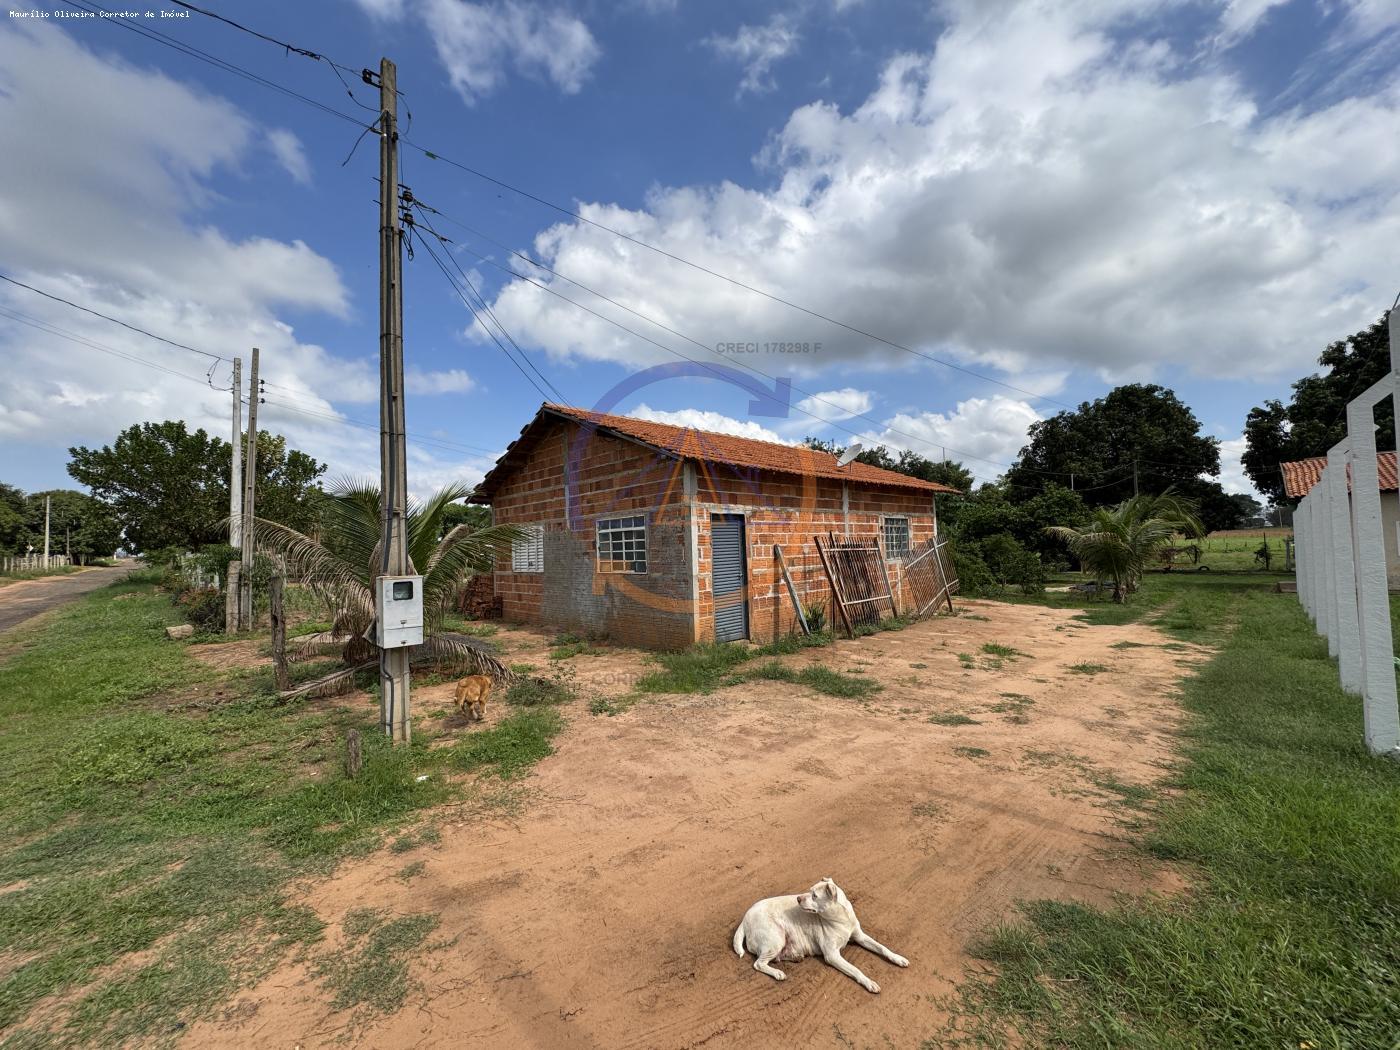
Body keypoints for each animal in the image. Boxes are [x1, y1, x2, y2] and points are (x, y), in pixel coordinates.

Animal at [733, 879, 907, 996]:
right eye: (810, 891)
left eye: (814, 895)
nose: (798, 898)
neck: (840, 918)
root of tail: (744, 919)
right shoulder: (832, 955)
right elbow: (855, 969)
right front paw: (869, 982)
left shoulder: (860, 936)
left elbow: (882, 948)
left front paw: (898, 958)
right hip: (776, 938)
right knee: (758, 963)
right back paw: (777, 973)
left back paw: (795, 957)